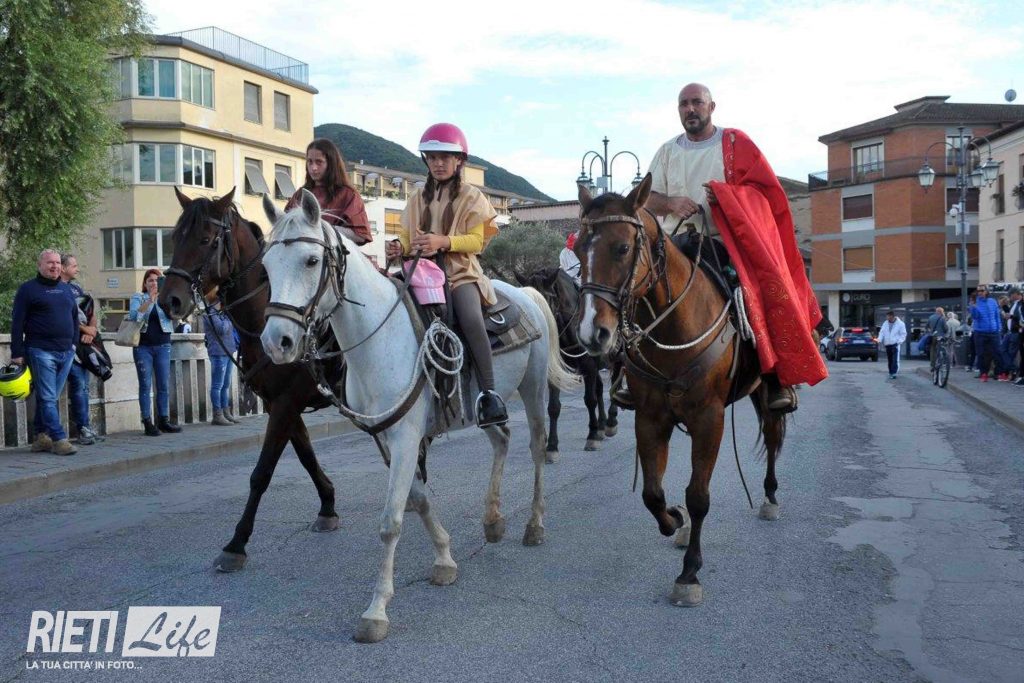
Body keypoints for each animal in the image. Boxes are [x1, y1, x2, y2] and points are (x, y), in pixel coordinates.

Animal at [158, 188, 344, 573]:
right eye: (174, 238)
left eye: (206, 239)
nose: (170, 300)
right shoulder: (280, 403)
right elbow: (305, 455)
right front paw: (328, 505)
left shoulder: (287, 403)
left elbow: (262, 473)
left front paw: (236, 543)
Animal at [259, 189, 576, 643]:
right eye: (266, 265)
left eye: (311, 260)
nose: (277, 342)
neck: (378, 339)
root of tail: (526, 294)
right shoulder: (387, 438)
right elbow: (419, 499)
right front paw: (444, 559)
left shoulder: (407, 437)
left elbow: (391, 520)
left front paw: (376, 611)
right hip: (484, 405)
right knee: (501, 440)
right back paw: (493, 521)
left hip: (532, 390)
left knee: (534, 449)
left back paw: (533, 525)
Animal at [516, 267, 619, 453]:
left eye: (546, 300)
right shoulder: (557, 370)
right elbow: (553, 407)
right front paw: (551, 446)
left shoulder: (589, 367)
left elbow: (589, 399)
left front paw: (592, 436)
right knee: (600, 389)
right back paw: (601, 424)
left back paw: (610, 422)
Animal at [574, 174, 787, 608]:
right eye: (576, 249)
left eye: (622, 248)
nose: (591, 333)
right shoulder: (651, 417)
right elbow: (653, 493)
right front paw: (674, 520)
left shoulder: (709, 418)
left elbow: (698, 495)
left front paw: (689, 573)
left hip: (763, 391)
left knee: (773, 435)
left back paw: (770, 497)